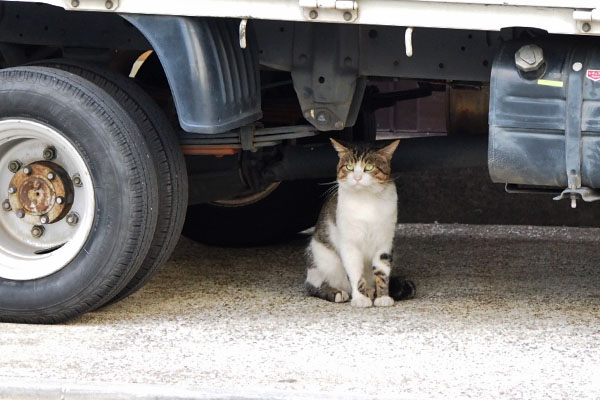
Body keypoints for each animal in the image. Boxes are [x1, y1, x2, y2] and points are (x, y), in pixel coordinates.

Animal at [308, 139, 414, 308]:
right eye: (349, 167)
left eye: (369, 167)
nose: (357, 177)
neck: (366, 199)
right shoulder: (349, 244)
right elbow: (355, 272)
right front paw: (360, 298)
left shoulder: (384, 241)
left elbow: (382, 271)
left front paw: (383, 296)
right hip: (321, 258)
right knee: (313, 284)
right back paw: (336, 292)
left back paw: (371, 291)